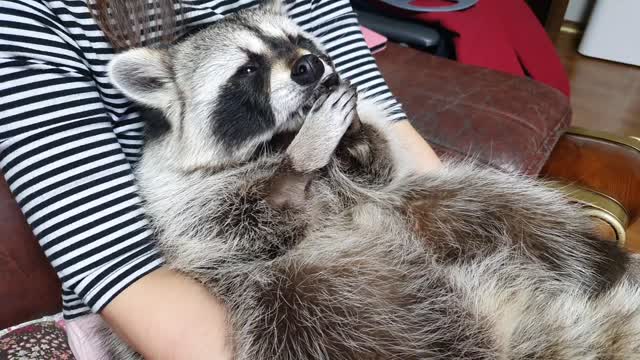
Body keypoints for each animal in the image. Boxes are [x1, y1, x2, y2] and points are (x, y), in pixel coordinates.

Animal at [102, 1, 640, 358]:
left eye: (300, 43)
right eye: (249, 69)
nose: (311, 66)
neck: (283, 133)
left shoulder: (374, 180)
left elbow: (378, 168)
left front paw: (354, 133)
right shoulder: (185, 206)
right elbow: (237, 225)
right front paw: (296, 168)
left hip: (441, 207)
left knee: (512, 213)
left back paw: (604, 265)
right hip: (309, 297)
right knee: (309, 310)